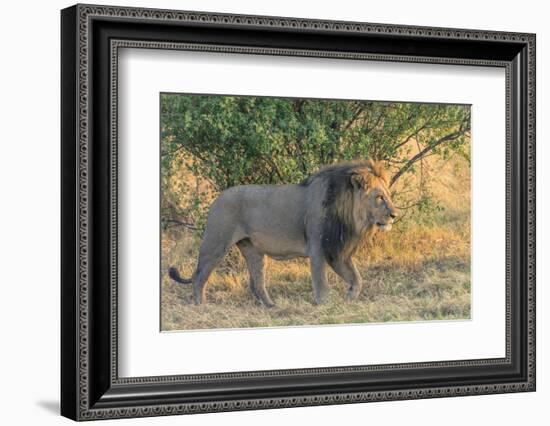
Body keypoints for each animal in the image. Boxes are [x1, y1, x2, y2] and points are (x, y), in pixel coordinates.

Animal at [168, 160, 396, 306]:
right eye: (379, 197)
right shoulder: (318, 248)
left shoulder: (337, 251)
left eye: (388, 195)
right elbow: (321, 283)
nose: (394, 215)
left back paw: (272, 306)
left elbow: (357, 279)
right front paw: (325, 305)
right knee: (199, 277)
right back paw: (201, 306)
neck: (349, 215)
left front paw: (349, 298)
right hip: (216, 243)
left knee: (256, 284)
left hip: (253, 250)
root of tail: (216, 199)